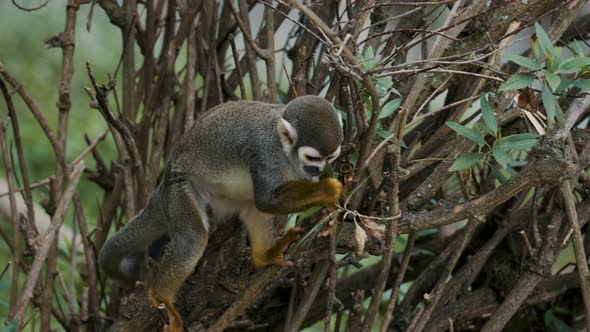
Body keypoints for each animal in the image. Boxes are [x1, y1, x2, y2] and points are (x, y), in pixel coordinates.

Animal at [99, 94, 344, 330]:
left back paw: (263, 256)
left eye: (330, 158)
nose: (318, 170)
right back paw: (160, 297)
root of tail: (164, 181)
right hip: (179, 188)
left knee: (250, 207)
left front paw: (327, 216)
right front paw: (330, 190)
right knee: (193, 238)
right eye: (313, 158)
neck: (286, 153)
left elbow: (266, 202)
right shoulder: (266, 153)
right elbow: (267, 200)